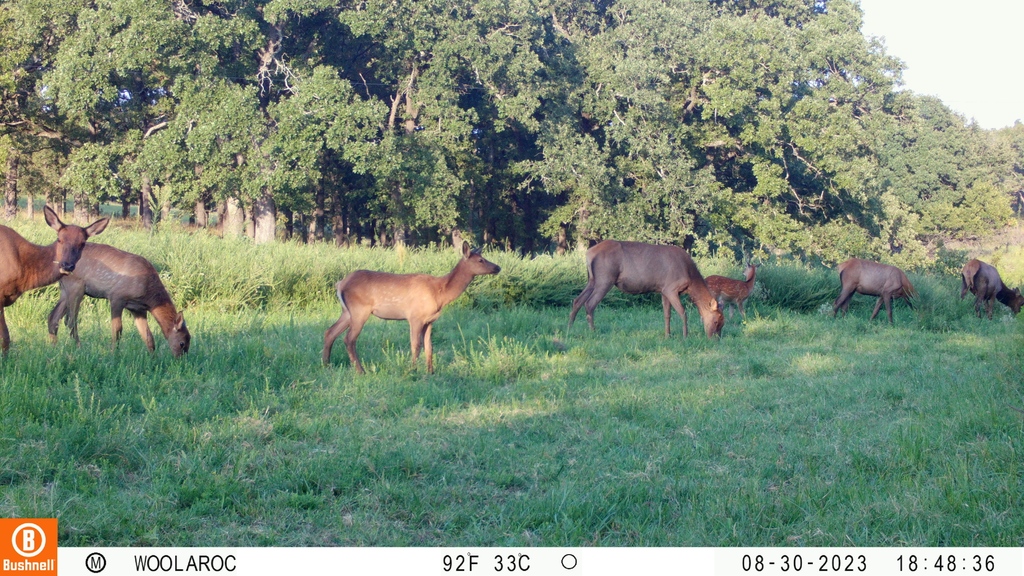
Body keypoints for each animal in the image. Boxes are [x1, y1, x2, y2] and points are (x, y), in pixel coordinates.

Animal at [46, 243, 191, 356]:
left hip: (65, 290)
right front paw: (113, 354)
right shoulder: (117, 297)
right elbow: (117, 329)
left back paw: (54, 348)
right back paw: (79, 348)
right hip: (76, 286)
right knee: (70, 321)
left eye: (189, 340)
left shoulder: (138, 309)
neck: (149, 296)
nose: (179, 359)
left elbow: (148, 336)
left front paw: (153, 358)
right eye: (182, 343)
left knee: (53, 317)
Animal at [322, 242, 501, 374]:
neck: (440, 294)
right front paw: (412, 371)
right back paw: (360, 371)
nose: (498, 267)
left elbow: (429, 347)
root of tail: (340, 284)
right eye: (480, 260)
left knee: (330, 332)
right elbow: (415, 345)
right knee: (349, 339)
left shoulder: (430, 320)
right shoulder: (415, 317)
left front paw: (431, 372)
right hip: (360, 309)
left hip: (347, 311)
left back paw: (326, 365)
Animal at [567, 240, 724, 338]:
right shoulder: (671, 288)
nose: (715, 339)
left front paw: (668, 335)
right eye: (716, 321)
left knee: (577, 300)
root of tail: (588, 253)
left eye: (723, 323)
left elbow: (667, 314)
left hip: (592, 280)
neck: (691, 279)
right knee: (589, 304)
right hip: (605, 279)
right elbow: (683, 312)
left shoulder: (663, 290)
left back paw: (570, 328)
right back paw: (593, 332)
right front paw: (685, 336)